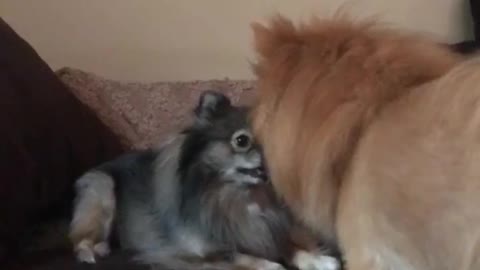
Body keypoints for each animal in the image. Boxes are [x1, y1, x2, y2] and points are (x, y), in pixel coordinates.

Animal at [69, 91, 340, 270]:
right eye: (242, 141)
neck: (241, 197)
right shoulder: (200, 252)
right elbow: (244, 257)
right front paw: (273, 266)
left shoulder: (269, 233)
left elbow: (291, 247)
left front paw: (317, 259)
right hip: (102, 190)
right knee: (80, 240)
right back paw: (92, 252)